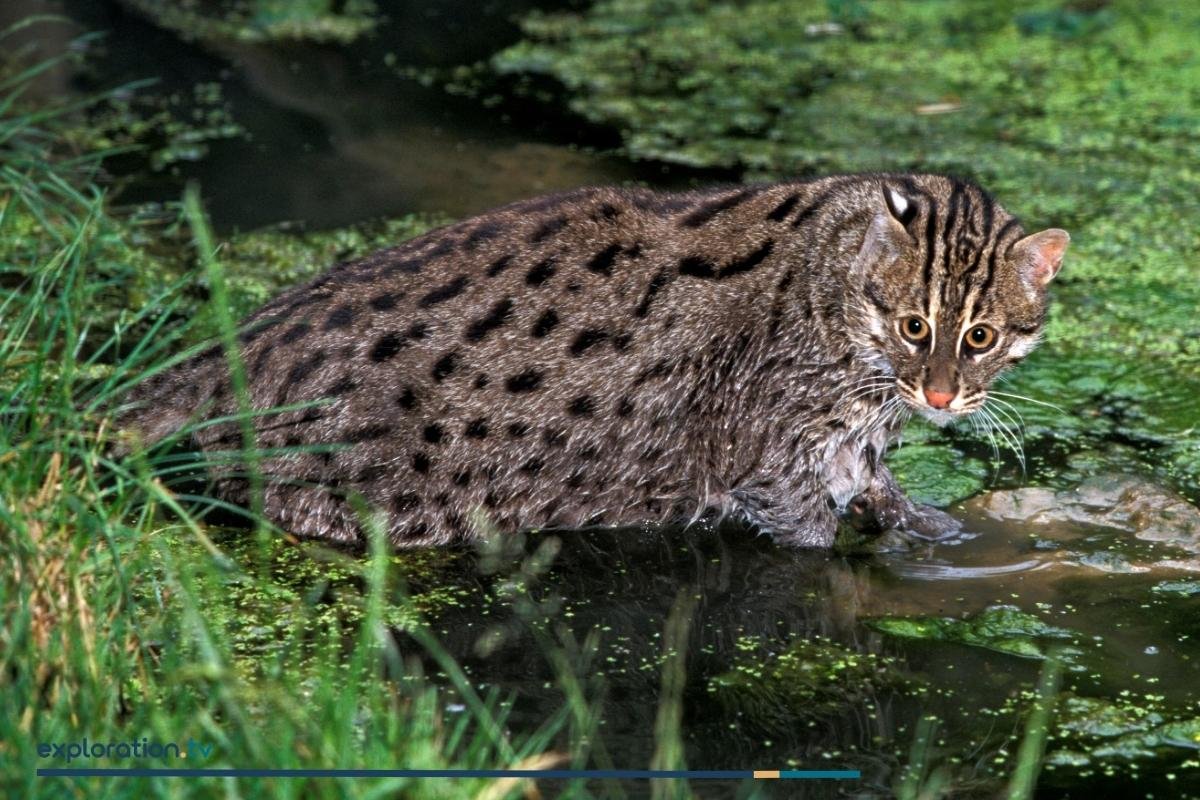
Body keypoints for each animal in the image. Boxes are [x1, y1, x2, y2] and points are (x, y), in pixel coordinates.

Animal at [119, 173, 1070, 551]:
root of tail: (219, 352)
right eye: (915, 325)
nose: (941, 398)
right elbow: (813, 532)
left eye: (980, 337)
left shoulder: (852, 449)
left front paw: (937, 530)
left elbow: (890, 499)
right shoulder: (769, 461)